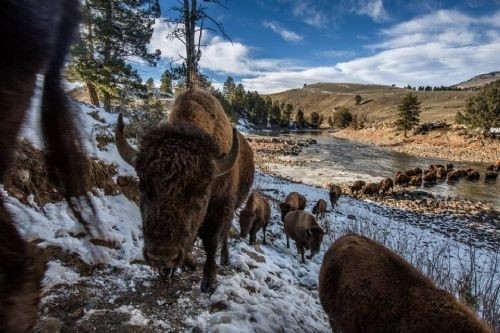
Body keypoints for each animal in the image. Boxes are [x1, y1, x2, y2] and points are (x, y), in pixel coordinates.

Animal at [116, 88, 254, 290]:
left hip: (234, 206)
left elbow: (211, 242)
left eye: (202, 194)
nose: (162, 256)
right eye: (141, 187)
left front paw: (209, 282)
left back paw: (225, 258)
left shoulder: (220, 209)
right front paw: (189, 263)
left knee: (225, 235)